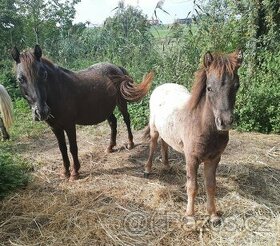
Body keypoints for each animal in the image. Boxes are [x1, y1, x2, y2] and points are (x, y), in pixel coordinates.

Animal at [11, 45, 153, 181]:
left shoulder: (69, 125)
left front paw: (75, 173)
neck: (59, 90)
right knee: (113, 122)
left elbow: (73, 148)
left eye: (44, 74)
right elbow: (62, 149)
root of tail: (116, 67)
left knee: (126, 119)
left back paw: (130, 143)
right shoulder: (55, 128)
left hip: (121, 102)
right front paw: (65, 172)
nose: (41, 111)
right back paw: (110, 147)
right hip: (106, 108)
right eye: (20, 79)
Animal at [144, 49, 243, 223]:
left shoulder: (214, 159)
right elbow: (193, 187)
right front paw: (190, 216)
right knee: (153, 145)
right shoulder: (191, 158)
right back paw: (148, 170)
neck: (201, 125)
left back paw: (166, 165)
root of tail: (162, 86)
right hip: (154, 130)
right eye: (209, 88)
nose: (224, 122)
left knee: (165, 142)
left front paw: (213, 215)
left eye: (236, 86)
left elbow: (211, 186)